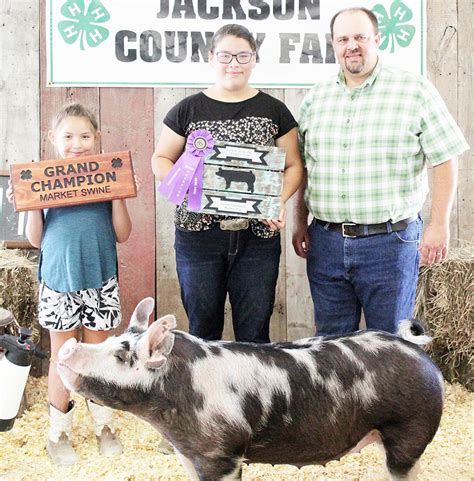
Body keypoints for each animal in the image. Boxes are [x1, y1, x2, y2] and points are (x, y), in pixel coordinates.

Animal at [56, 298, 444, 478]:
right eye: (113, 339)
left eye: (122, 355)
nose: (68, 346)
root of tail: (415, 348)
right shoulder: (189, 452)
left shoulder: (222, 453)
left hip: (408, 431)